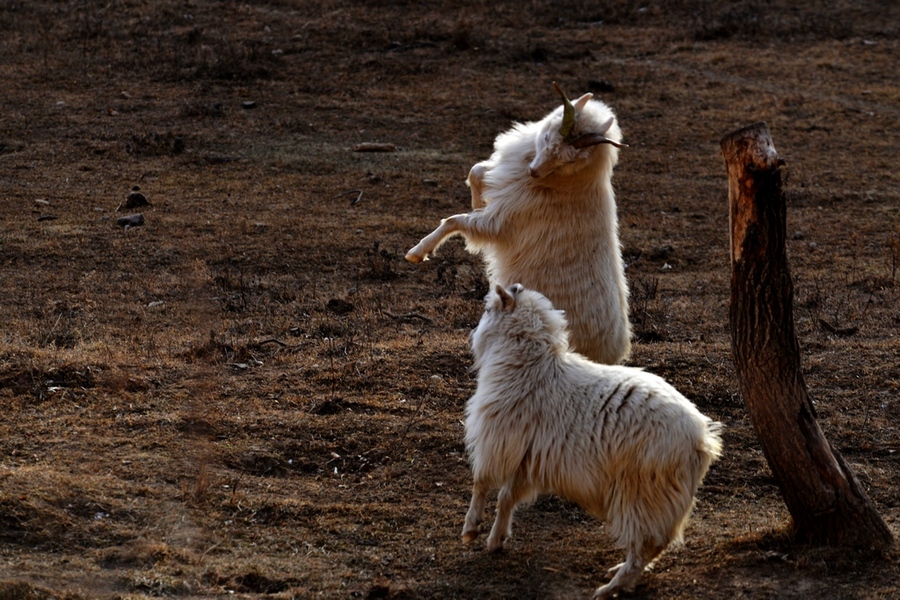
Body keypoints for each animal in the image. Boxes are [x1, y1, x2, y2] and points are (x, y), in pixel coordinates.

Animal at [408, 83, 632, 366]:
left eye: (570, 159)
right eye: (546, 138)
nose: (534, 173)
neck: (567, 182)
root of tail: (614, 353)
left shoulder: (500, 221)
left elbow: (453, 220)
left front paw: (417, 252)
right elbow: (476, 171)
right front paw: (477, 200)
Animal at [464, 284, 724, 596]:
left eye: (488, 309)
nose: (471, 333)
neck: (530, 364)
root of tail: (702, 438)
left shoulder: (497, 442)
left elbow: (481, 483)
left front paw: (471, 529)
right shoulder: (527, 457)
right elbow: (506, 498)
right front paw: (496, 540)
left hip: (644, 495)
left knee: (646, 543)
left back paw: (611, 587)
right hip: (660, 497)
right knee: (656, 543)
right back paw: (620, 576)